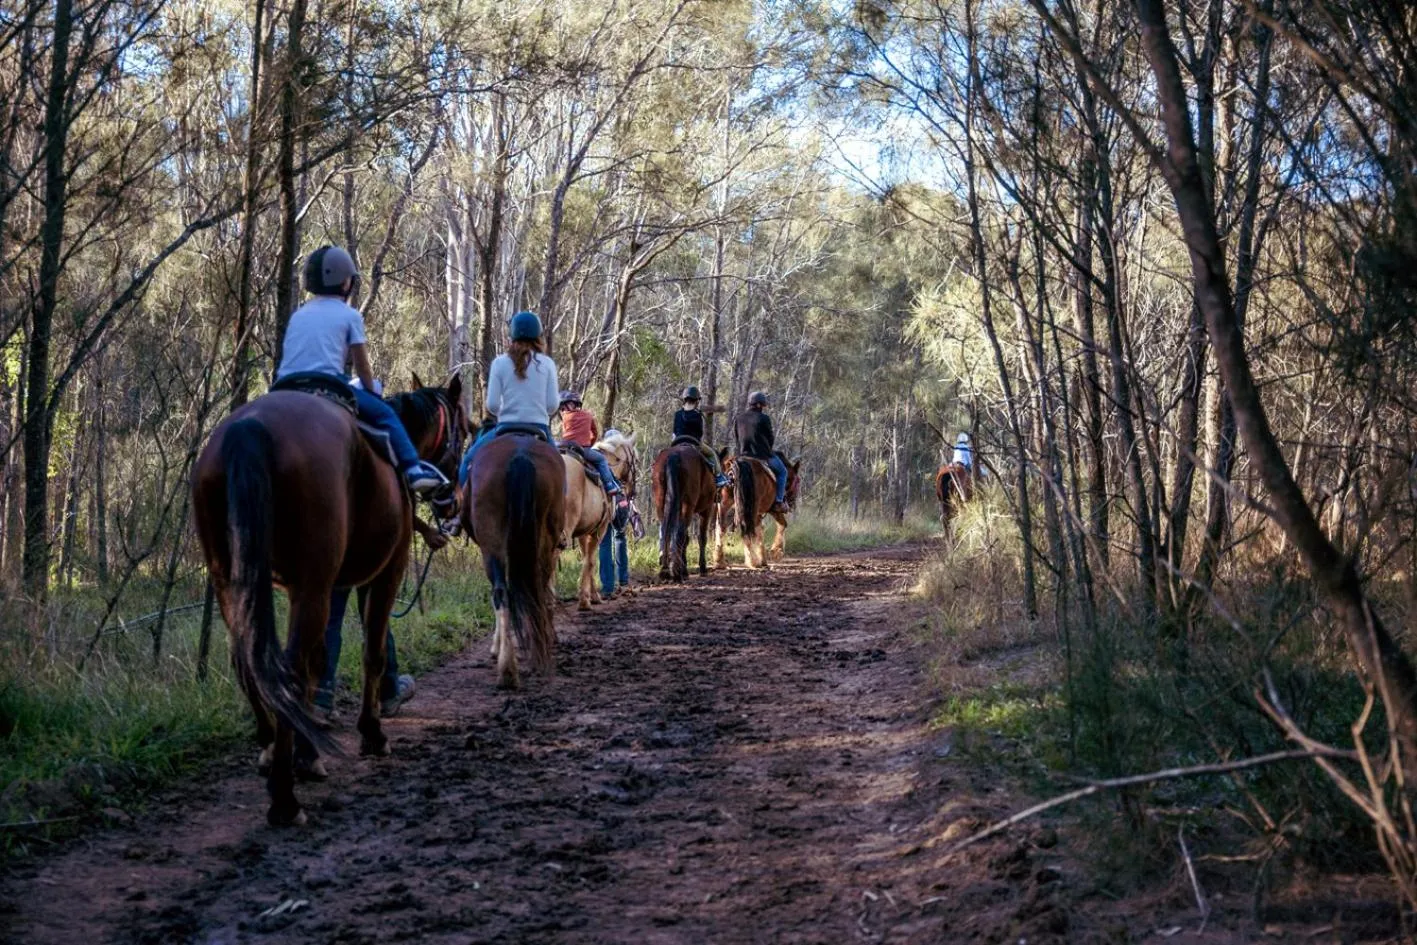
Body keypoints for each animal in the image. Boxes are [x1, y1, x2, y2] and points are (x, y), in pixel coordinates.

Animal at [191, 373, 465, 826]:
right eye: (465, 430)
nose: (452, 499)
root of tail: (249, 429)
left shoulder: (325, 586)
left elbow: (321, 660)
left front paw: (308, 750)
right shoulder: (383, 573)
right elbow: (372, 651)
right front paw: (371, 733)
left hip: (230, 577)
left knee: (251, 662)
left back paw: (271, 749)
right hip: (311, 581)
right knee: (287, 667)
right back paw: (284, 799)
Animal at [461, 429, 565, 690]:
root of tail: (520, 455)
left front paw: (496, 647)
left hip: (494, 547)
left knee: (504, 592)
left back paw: (509, 667)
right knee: (528, 590)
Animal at [559, 431, 637, 610]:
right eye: (635, 461)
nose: (633, 492)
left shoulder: (583, 531)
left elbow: (587, 560)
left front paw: (591, 595)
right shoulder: (599, 530)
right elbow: (592, 561)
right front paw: (586, 600)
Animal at [653, 439, 717, 581]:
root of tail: (674, 456)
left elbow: (686, 539)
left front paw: (685, 569)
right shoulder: (707, 509)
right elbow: (701, 537)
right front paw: (702, 568)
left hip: (660, 500)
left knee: (665, 530)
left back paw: (665, 569)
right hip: (688, 504)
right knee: (680, 533)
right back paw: (676, 572)